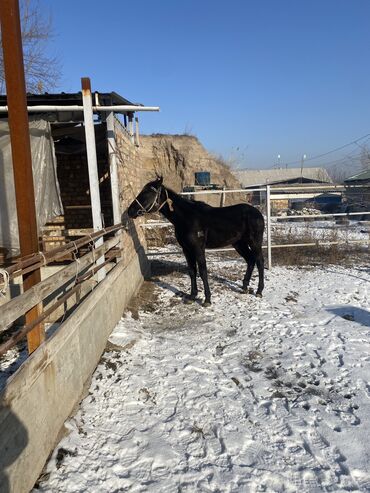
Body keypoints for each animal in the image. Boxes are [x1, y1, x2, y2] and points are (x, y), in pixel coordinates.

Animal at [129, 177, 264, 306]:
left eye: (147, 193)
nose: (130, 211)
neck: (187, 218)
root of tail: (258, 213)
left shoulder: (198, 248)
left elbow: (203, 271)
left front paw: (207, 300)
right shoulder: (186, 249)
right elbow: (192, 271)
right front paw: (192, 296)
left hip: (255, 242)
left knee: (259, 261)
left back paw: (259, 291)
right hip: (239, 244)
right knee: (250, 260)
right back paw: (245, 287)